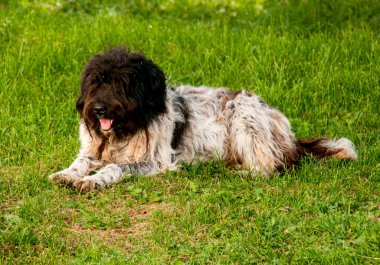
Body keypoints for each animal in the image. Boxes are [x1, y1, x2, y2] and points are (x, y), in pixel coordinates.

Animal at [49, 47, 358, 192]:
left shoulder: (156, 161)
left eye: (121, 84)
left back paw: (241, 172)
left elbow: (114, 167)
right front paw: (67, 174)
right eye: (96, 81)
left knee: (269, 167)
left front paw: (93, 181)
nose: (99, 109)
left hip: (243, 115)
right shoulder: (92, 150)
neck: (128, 127)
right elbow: (80, 162)